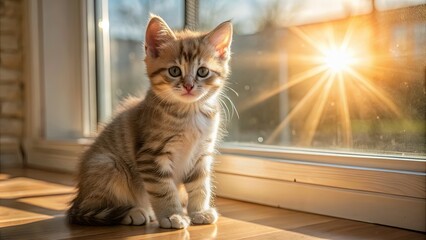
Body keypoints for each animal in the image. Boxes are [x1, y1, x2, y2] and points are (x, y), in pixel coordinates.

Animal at [67, 15, 233, 230]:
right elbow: (164, 189)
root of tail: (78, 197)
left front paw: (199, 211)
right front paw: (172, 215)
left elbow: (200, 185)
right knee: (93, 206)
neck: (189, 113)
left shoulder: (201, 154)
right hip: (108, 165)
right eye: (174, 71)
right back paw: (133, 212)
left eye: (203, 72)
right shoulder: (151, 155)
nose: (189, 86)